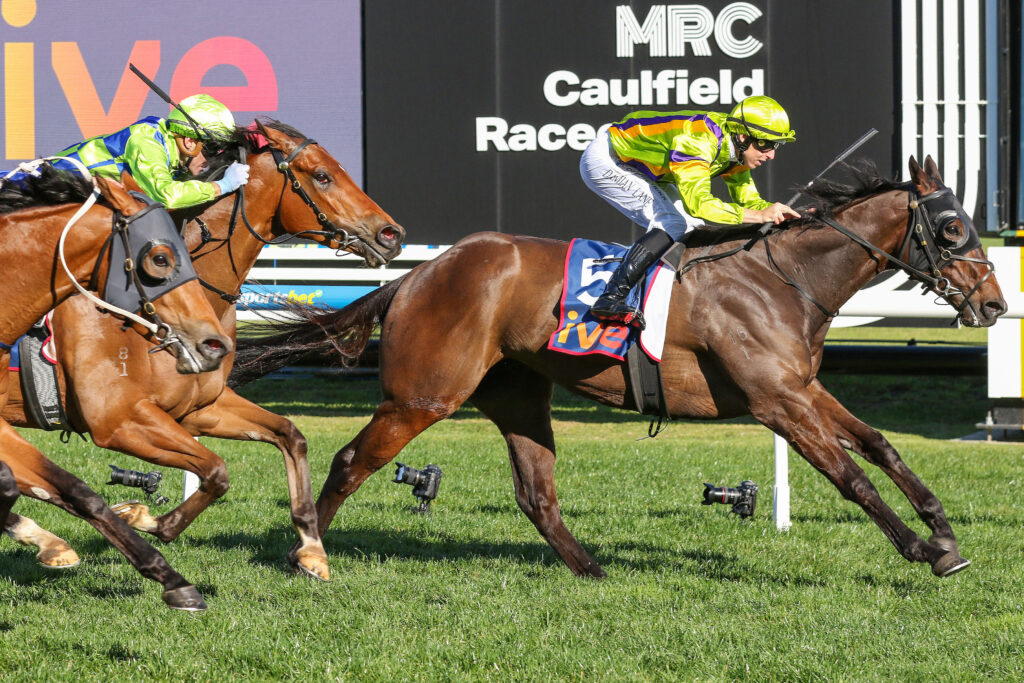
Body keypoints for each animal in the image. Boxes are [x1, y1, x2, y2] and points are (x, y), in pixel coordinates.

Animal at [231, 156, 1006, 580]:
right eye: (951, 228)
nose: (995, 302)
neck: (783, 278)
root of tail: (417, 274)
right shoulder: (776, 400)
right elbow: (851, 476)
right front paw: (920, 548)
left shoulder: (802, 386)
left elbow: (880, 445)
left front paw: (943, 531)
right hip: (423, 396)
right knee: (351, 460)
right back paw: (307, 554)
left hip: (517, 395)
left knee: (535, 493)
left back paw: (591, 566)